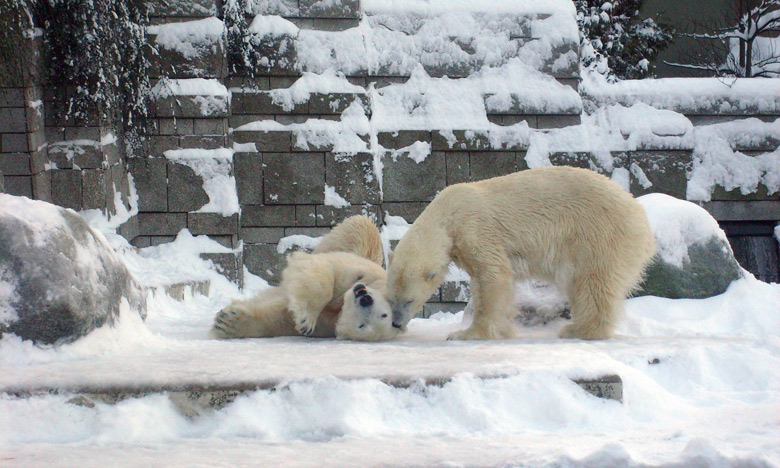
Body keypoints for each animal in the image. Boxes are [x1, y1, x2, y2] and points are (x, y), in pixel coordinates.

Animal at [212, 215, 400, 340]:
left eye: (363, 325)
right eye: (385, 313)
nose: (365, 297)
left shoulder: (328, 324)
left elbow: (281, 318)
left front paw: (227, 322)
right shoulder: (364, 273)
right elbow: (328, 270)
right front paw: (306, 318)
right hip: (355, 237)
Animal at [386, 167, 656, 340]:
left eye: (409, 300)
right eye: (390, 300)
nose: (396, 322)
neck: (448, 211)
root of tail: (640, 216)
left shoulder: (475, 228)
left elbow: (494, 274)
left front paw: (467, 333)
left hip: (597, 234)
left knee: (592, 281)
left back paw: (580, 330)